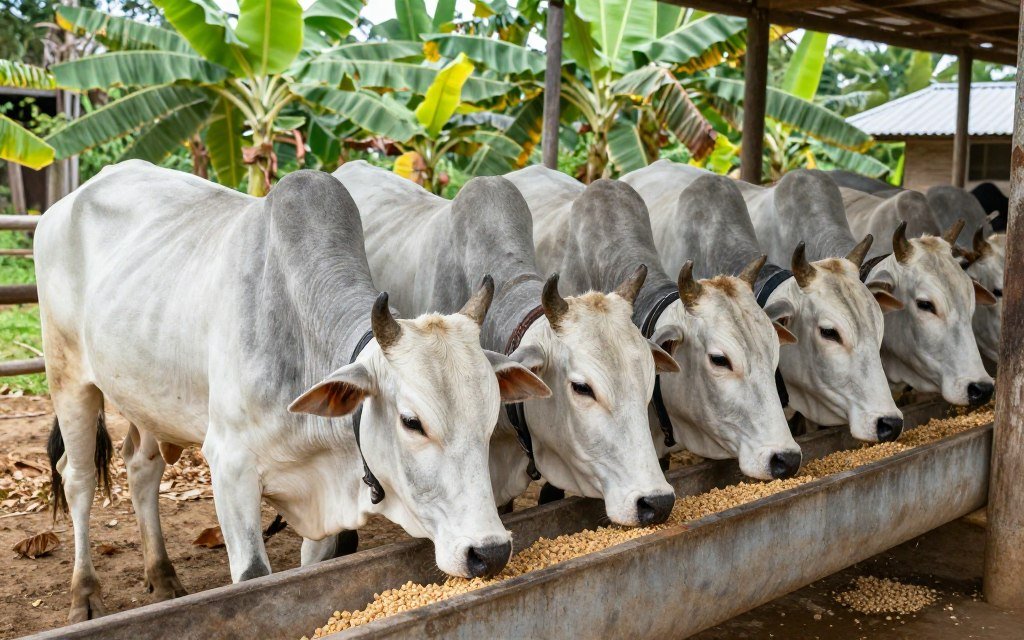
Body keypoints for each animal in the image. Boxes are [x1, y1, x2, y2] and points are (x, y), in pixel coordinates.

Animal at [36, 163, 550, 622]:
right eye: (412, 422)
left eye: (491, 417)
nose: (490, 552)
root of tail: (67, 201)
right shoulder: (230, 467)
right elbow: (253, 576)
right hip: (68, 376)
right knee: (77, 478)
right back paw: (85, 596)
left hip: (145, 396)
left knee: (141, 467)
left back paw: (163, 578)